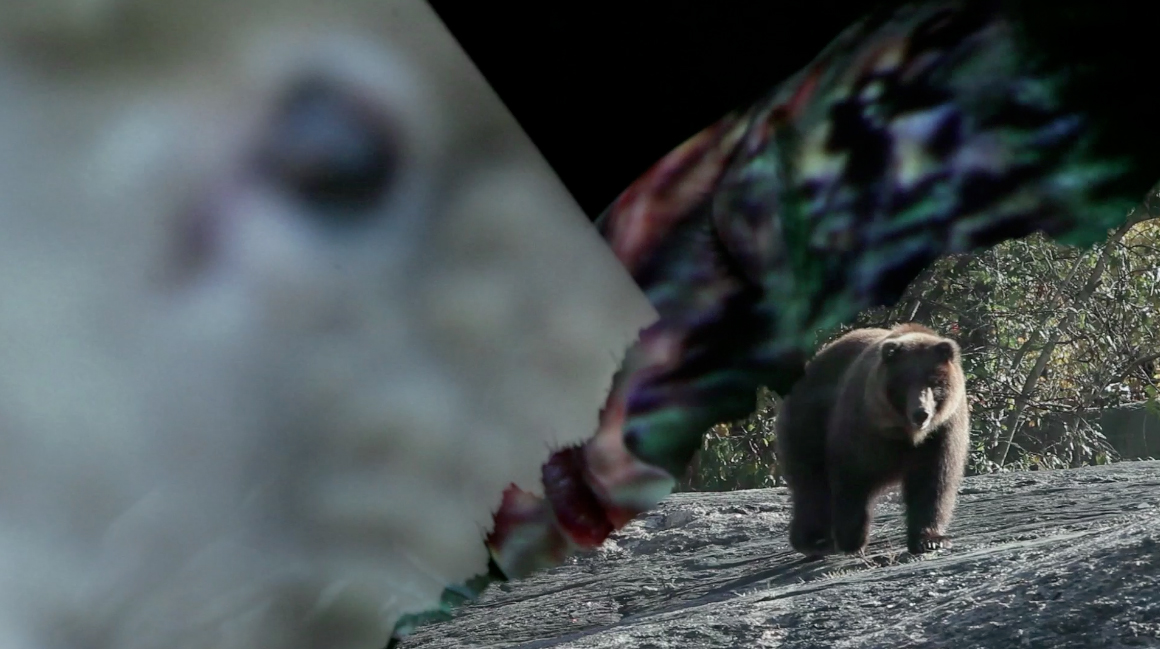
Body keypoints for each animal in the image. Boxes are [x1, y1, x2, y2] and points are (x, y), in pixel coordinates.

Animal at [775, 323, 970, 558]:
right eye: (904, 382)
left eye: (935, 382)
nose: (921, 413)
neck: (904, 433)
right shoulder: (863, 429)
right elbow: (853, 477)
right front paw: (851, 540)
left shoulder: (942, 431)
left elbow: (933, 480)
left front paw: (931, 540)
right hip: (808, 422)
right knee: (811, 485)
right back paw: (815, 540)